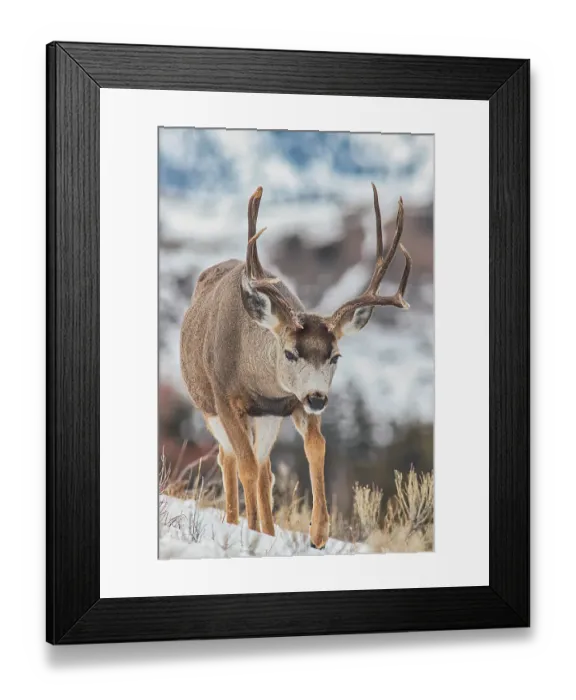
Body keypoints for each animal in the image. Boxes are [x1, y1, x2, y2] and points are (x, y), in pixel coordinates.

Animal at [180, 183, 412, 549]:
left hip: (267, 419)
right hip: (209, 409)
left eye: (335, 356)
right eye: (289, 353)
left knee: (266, 469)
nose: (318, 397)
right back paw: (236, 521)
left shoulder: (291, 402)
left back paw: (268, 529)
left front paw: (318, 533)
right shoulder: (225, 399)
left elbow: (315, 448)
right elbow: (244, 465)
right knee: (229, 458)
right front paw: (249, 530)